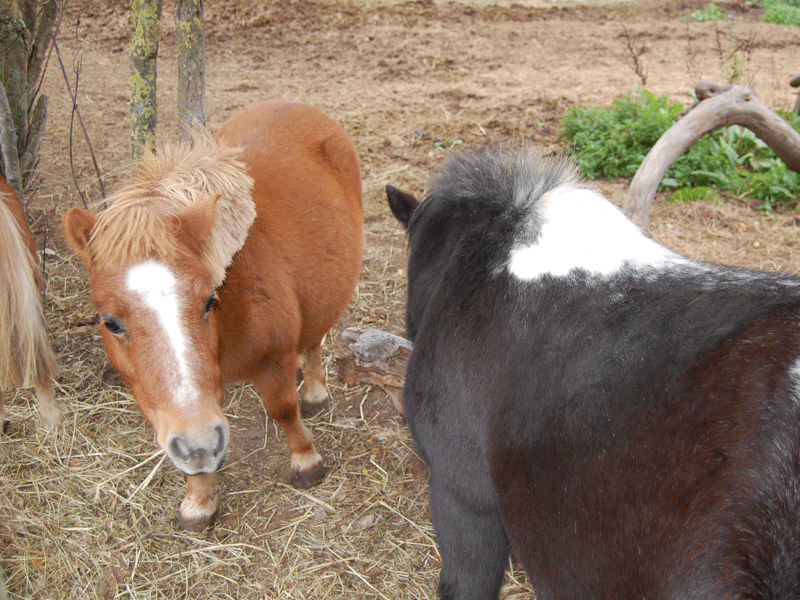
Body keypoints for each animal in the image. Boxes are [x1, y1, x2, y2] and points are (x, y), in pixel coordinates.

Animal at [64, 102, 364, 528]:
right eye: (110, 322)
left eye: (208, 301)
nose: (199, 443)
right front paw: (200, 497)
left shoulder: (274, 361)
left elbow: (283, 409)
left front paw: (306, 460)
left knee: (314, 339)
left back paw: (315, 390)